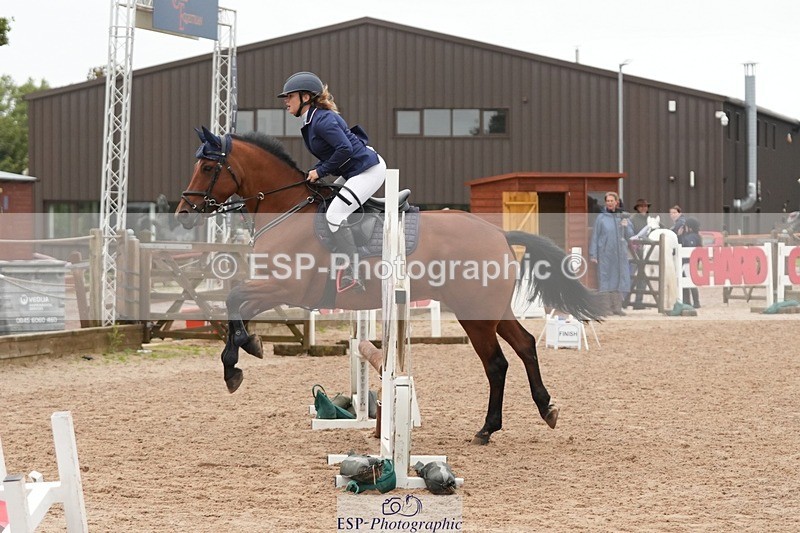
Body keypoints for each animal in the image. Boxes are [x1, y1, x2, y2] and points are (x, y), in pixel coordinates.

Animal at [175, 127, 605, 445]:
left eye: (208, 168)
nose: (183, 213)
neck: (287, 209)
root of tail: (498, 233)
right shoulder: (275, 288)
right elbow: (235, 304)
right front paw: (244, 350)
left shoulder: (284, 288)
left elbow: (234, 300)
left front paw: (239, 359)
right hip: (491, 310)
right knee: (526, 345)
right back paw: (544, 409)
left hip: (475, 314)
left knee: (497, 363)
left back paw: (486, 429)